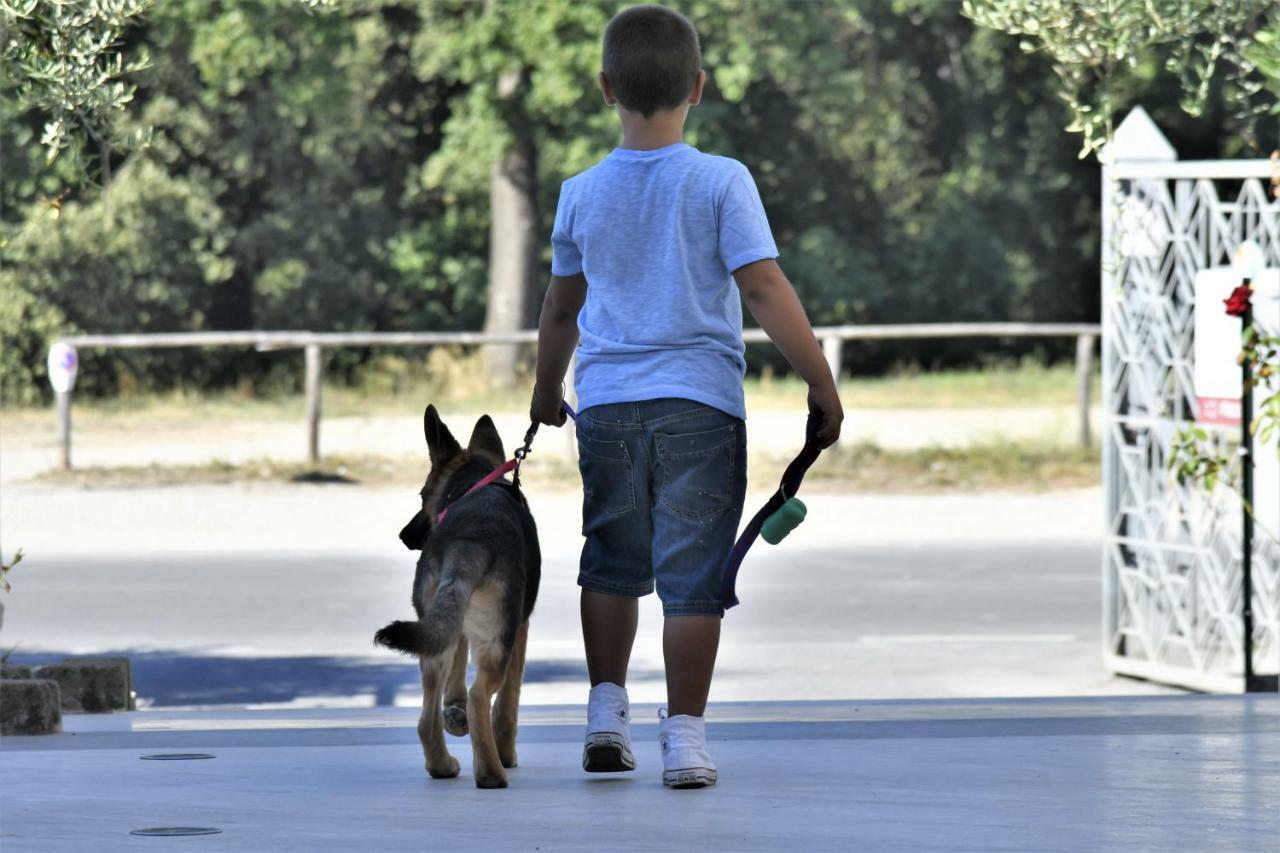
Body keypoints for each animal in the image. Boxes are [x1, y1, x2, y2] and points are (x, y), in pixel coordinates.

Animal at [373, 402, 537, 788]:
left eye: (421, 495)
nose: (404, 536)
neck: (476, 484)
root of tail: (469, 542)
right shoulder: (520, 630)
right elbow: (509, 702)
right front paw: (507, 753)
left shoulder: (453, 626)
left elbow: (458, 677)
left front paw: (455, 712)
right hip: (497, 643)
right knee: (481, 697)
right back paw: (492, 772)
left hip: (433, 645)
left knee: (426, 718)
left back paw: (442, 765)